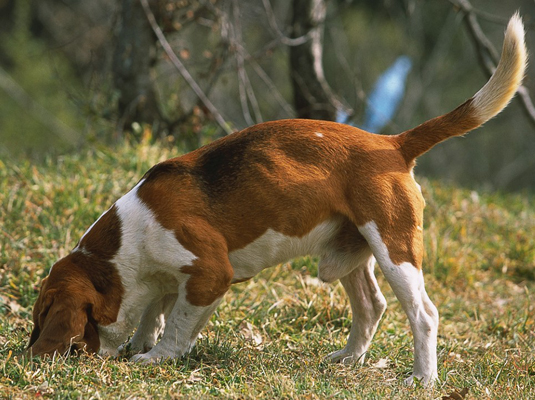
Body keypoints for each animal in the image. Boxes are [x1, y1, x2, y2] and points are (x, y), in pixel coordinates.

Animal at [27, 14, 524, 386]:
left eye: (44, 315)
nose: (31, 355)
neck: (120, 252)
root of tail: (392, 143)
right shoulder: (166, 279)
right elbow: (154, 311)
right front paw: (142, 340)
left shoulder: (210, 275)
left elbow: (180, 324)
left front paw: (156, 357)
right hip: (349, 251)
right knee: (371, 306)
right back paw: (349, 359)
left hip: (394, 248)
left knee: (424, 314)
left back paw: (422, 379)